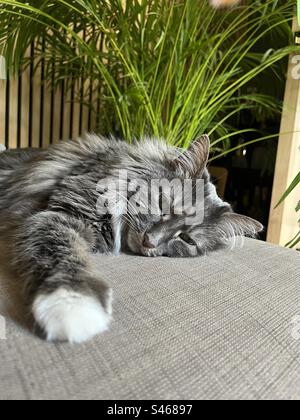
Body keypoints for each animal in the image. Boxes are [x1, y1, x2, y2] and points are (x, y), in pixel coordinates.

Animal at [0, 136, 262, 342]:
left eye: (186, 239)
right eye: (163, 206)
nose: (151, 241)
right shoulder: (61, 216)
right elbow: (62, 255)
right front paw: (72, 307)